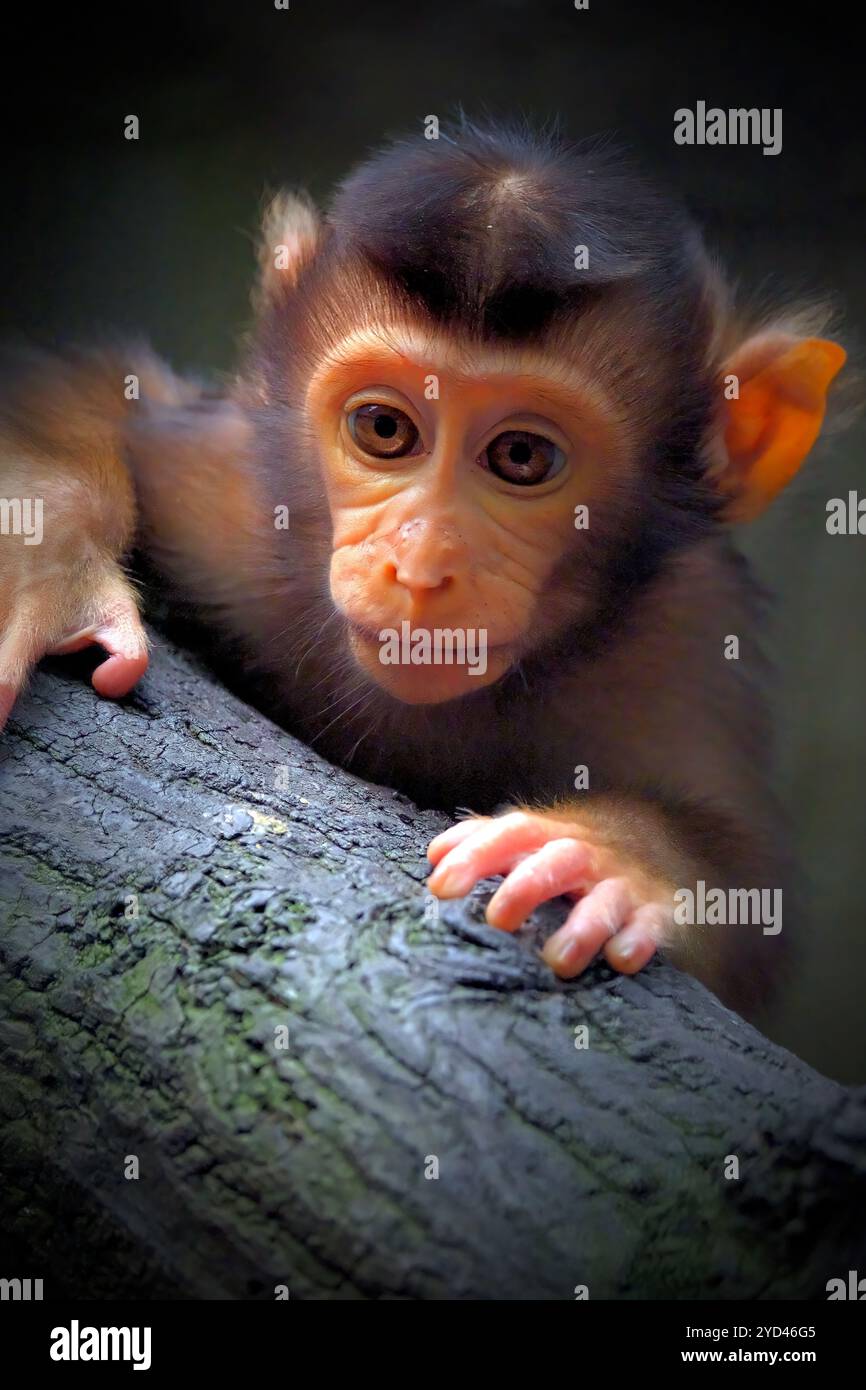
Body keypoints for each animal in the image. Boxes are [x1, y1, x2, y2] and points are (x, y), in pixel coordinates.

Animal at [0, 120, 850, 1018]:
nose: (419, 565)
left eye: (520, 456)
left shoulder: (688, 634)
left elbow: (746, 906)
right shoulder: (227, 494)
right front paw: (40, 561)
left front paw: (612, 859)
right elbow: (96, 394)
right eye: (384, 428)